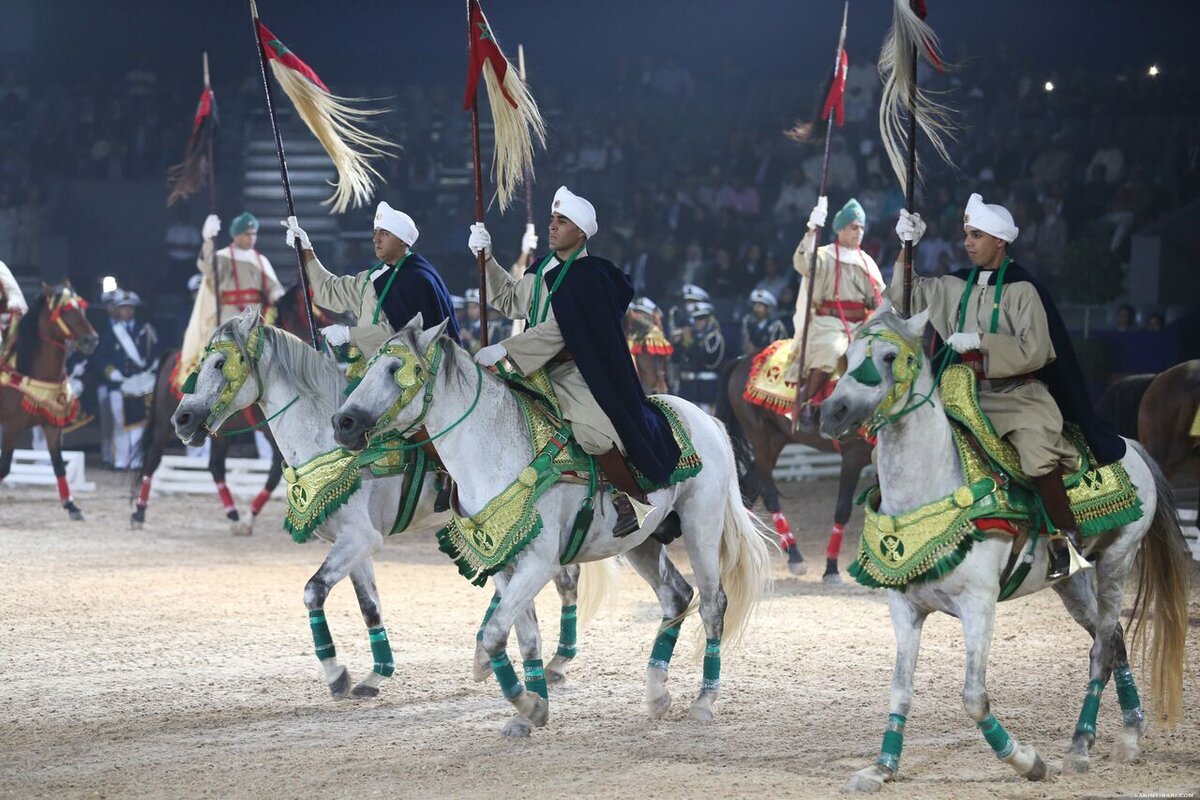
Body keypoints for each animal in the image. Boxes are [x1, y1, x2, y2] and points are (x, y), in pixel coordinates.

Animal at [0, 284, 99, 522]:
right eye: (65, 310)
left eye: (81, 308)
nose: (91, 340)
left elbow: (58, 465)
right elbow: (4, 467)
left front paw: (72, 506)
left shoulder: (52, 424)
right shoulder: (11, 426)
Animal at [172, 309, 604, 705]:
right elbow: (370, 607)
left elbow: (313, 591)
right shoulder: (353, 542)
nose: (182, 419)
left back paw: (544, 661)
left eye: (220, 362)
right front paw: (375, 675)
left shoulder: (360, 538)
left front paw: (337, 676)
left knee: (561, 580)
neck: (326, 442)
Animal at [333, 314, 772, 738]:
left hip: (702, 526)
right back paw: (657, 694)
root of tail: (704, 418)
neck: (497, 452)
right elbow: (525, 638)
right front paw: (532, 711)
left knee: (712, 604)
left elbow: (495, 634)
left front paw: (527, 706)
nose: (343, 422)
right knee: (676, 597)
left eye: (397, 369)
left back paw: (703, 701)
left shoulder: (538, 564)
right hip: (641, 542)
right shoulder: (506, 564)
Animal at [710, 357, 873, 582]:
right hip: (760, 438)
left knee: (749, 489)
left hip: (777, 440)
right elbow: (843, 510)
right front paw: (831, 568)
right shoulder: (853, 458)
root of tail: (742, 360)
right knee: (767, 493)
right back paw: (794, 555)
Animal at [820, 303, 1185, 791]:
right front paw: (882, 768)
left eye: (890, 357)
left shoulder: (979, 606)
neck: (934, 484)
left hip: (1117, 561)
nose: (832, 411)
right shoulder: (905, 608)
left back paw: (1080, 747)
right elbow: (900, 689)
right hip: (1070, 582)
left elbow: (974, 697)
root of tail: (1130, 447)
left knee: (1101, 651)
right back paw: (1129, 735)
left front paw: (1027, 761)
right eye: (848, 355)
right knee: (1115, 640)